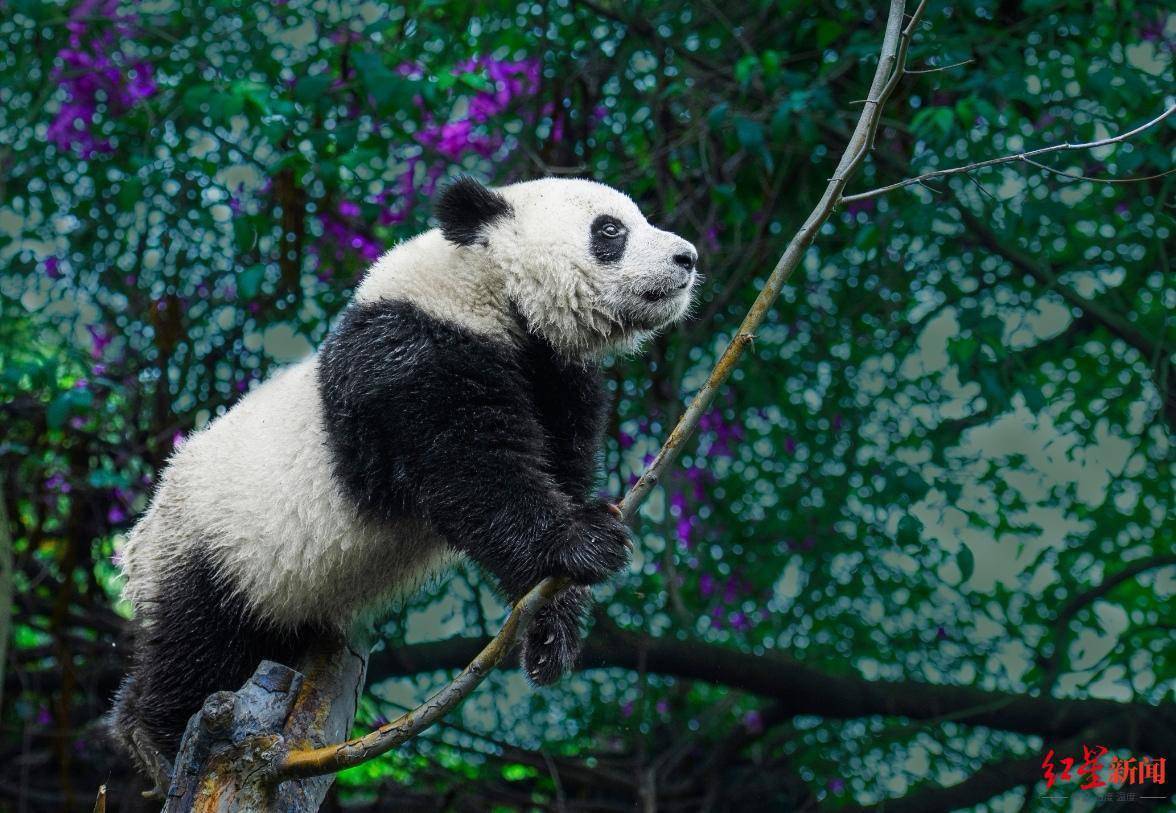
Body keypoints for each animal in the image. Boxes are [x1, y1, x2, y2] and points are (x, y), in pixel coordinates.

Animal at [108, 176, 696, 776]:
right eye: (611, 230)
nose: (687, 258)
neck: (487, 288)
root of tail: (134, 550)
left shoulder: (554, 376)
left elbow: (555, 476)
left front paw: (552, 635)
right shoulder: (410, 357)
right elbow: (472, 471)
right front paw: (587, 541)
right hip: (210, 547)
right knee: (196, 644)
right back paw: (153, 733)